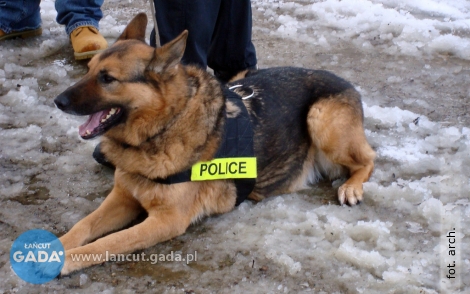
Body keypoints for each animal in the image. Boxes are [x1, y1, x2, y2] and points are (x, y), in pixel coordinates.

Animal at [52, 13, 374, 276]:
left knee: (368, 159)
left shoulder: (166, 221)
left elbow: (110, 241)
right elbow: (83, 225)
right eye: (89, 69)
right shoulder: (121, 198)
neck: (164, 126)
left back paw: (351, 187)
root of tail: (346, 82)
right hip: (246, 77)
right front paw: (53, 247)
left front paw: (64, 260)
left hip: (319, 117)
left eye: (107, 78)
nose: (57, 101)